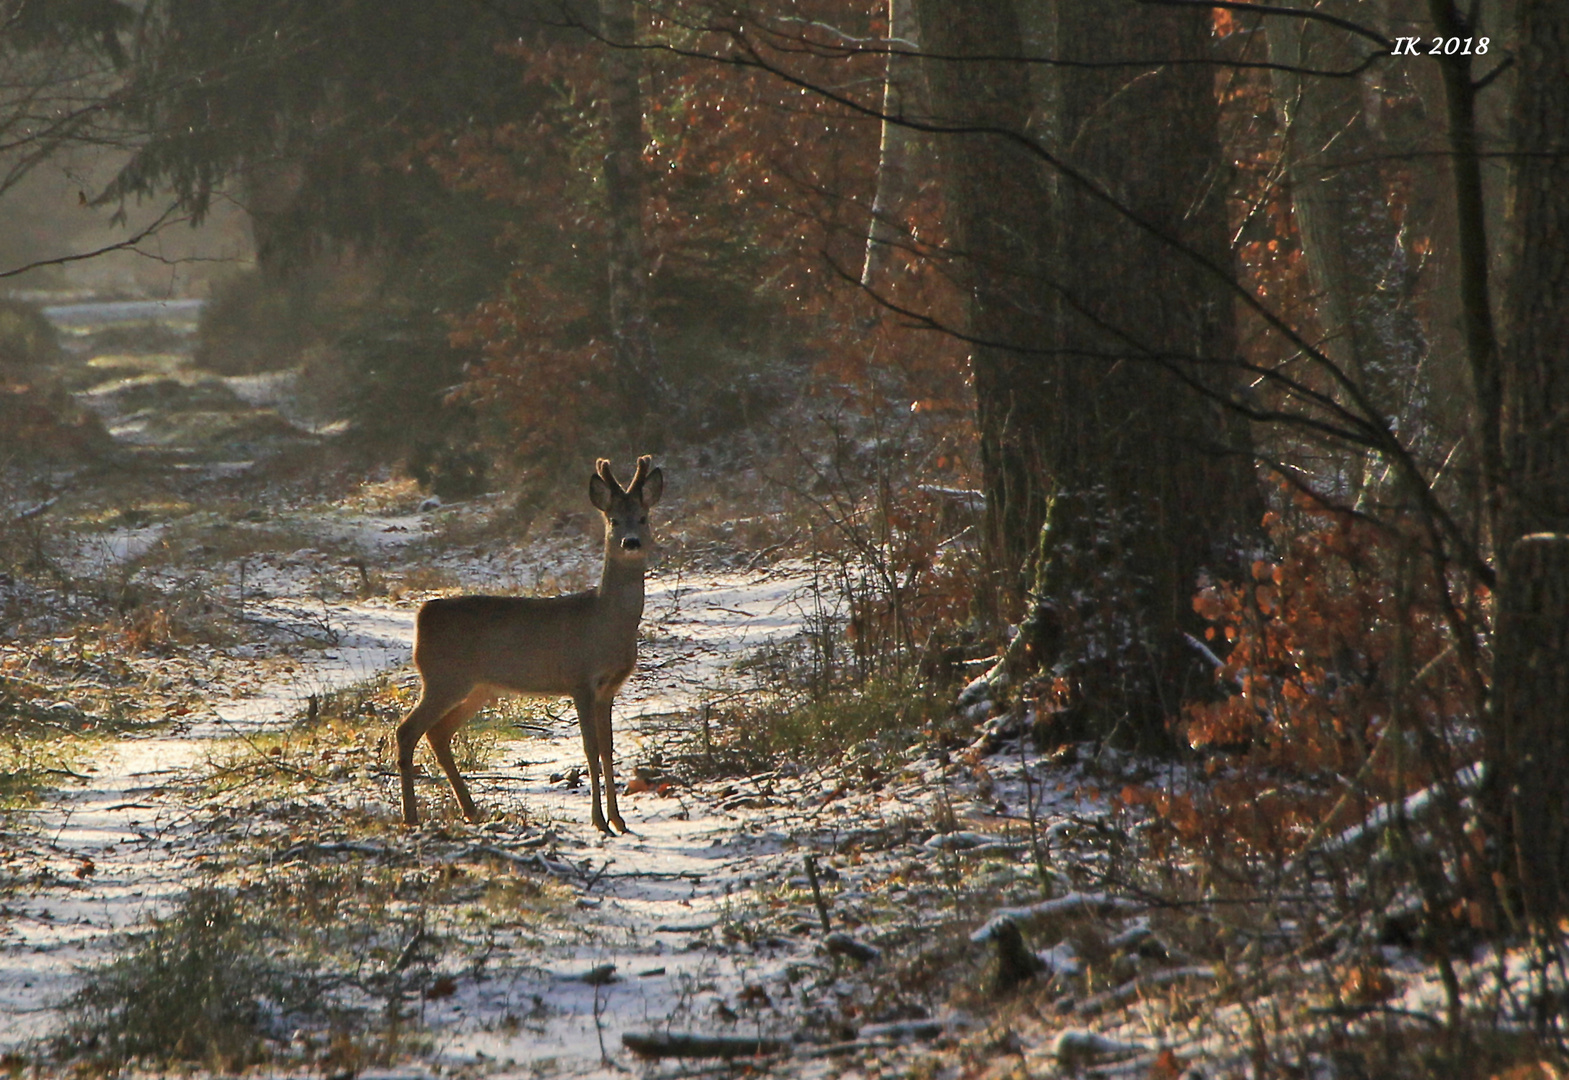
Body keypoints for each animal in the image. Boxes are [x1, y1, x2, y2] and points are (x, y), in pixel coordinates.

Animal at [398, 455, 662, 835]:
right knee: (407, 730)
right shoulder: (579, 679)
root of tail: (422, 615)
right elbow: (590, 749)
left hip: (476, 687)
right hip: (443, 677)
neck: (604, 622)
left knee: (437, 732)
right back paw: (411, 817)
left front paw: (618, 820)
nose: (631, 542)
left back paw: (471, 810)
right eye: (613, 520)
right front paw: (599, 821)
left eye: (643, 517)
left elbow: (608, 749)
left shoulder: (609, 688)